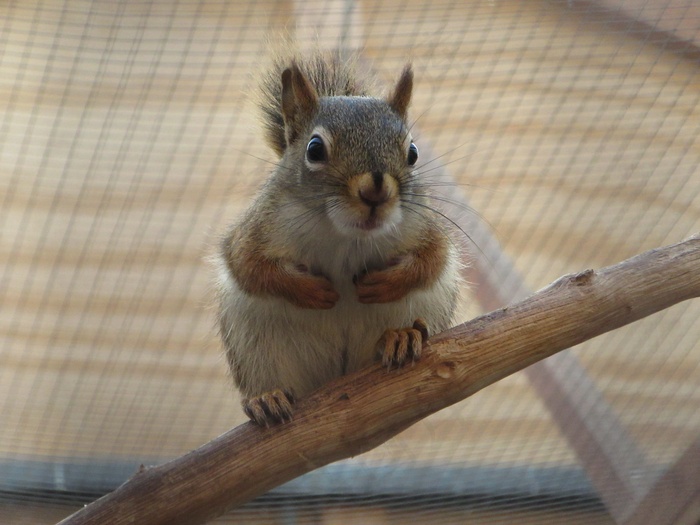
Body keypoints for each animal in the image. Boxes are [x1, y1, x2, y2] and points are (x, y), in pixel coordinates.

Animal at [216, 50, 462, 426]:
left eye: (413, 152)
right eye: (315, 149)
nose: (375, 189)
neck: (346, 234)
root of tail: (339, 376)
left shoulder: (424, 226)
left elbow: (433, 259)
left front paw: (385, 284)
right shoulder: (256, 230)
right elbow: (249, 267)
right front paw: (310, 291)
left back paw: (401, 336)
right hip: (255, 344)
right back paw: (266, 398)